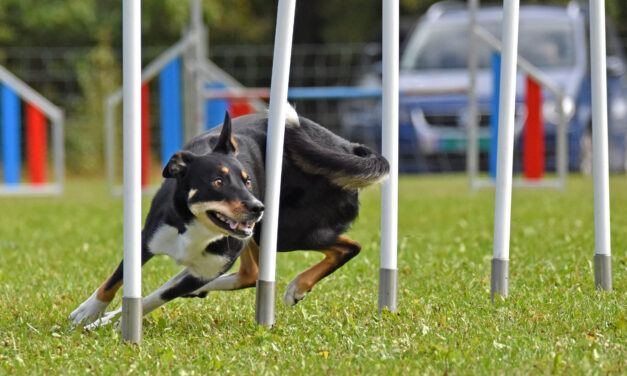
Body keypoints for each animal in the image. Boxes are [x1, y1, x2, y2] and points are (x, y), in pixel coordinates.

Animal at [71, 105, 390, 326]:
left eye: (247, 181)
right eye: (217, 182)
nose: (258, 207)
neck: (196, 227)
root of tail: (346, 146)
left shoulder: (213, 260)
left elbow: (157, 296)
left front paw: (115, 320)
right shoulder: (149, 239)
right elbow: (115, 279)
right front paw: (90, 311)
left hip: (283, 231)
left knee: (349, 247)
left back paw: (297, 286)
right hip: (262, 234)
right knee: (251, 273)